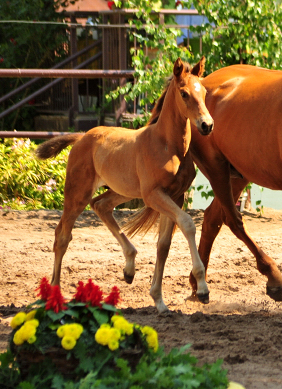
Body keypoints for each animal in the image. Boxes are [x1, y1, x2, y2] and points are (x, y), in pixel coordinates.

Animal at [36, 56, 214, 312]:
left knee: (101, 205)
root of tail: (81, 137)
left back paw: (129, 268)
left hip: (123, 191)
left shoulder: (175, 195)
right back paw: (55, 294)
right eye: (184, 93)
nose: (207, 125)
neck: (167, 145)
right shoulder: (154, 195)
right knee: (62, 235)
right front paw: (202, 289)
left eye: (205, 92)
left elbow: (163, 245)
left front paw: (159, 300)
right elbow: (188, 224)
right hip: (77, 192)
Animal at [187, 63, 282, 300]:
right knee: (232, 220)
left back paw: (197, 282)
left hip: (239, 175)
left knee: (212, 218)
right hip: (217, 170)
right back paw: (273, 276)